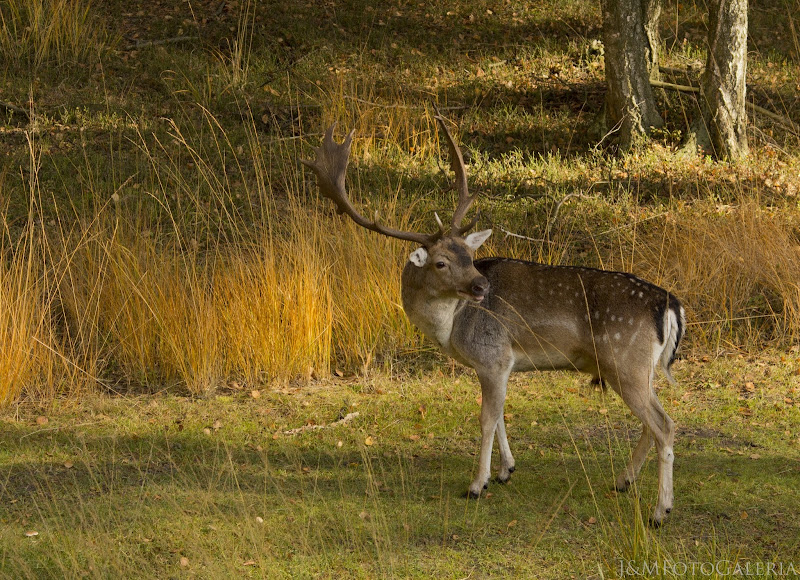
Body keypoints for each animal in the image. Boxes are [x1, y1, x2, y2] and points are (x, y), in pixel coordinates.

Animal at [304, 113, 684, 524]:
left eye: (469, 257)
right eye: (442, 262)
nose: (481, 285)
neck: (451, 328)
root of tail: (669, 305)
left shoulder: (492, 356)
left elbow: (486, 418)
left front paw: (477, 484)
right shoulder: (498, 363)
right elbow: (501, 414)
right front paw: (506, 470)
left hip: (625, 361)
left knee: (664, 425)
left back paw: (660, 510)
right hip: (636, 368)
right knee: (653, 422)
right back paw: (623, 481)